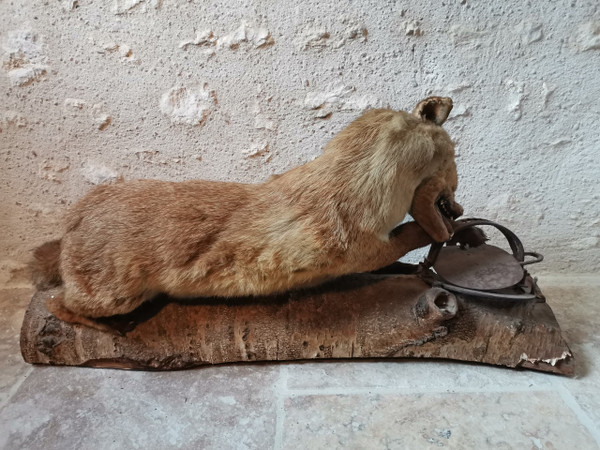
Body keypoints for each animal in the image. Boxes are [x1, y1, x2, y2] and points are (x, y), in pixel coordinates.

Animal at [29, 96, 464, 326]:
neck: (354, 183)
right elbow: (403, 239)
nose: (458, 206)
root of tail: (74, 221)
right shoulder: (359, 241)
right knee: (57, 302)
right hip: (112, 293)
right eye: (454, 162)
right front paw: (447, 233)